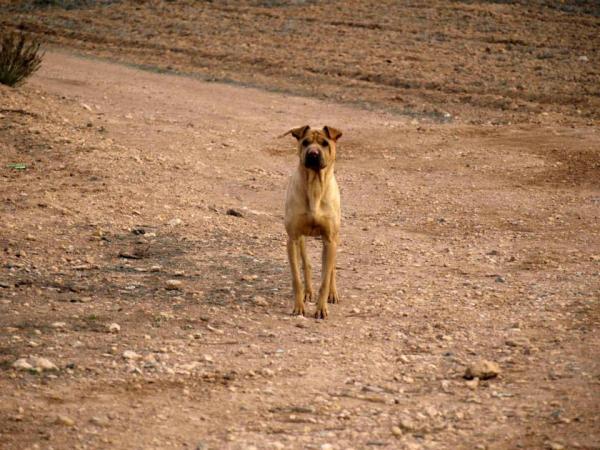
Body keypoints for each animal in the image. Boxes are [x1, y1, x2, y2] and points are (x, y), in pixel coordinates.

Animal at [282, 125, 342, 318]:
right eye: (305, 142)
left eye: (325, 143)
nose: (313, 153)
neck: (315, 186)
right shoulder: (292, 239)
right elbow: (296, 278)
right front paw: (299, 306)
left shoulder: (330, 240)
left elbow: (325, 279)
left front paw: (321, 308)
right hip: (301, 239)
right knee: (306, 264)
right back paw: (308, 292)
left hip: (335, 239)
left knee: (331, 270)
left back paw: (333, 293)